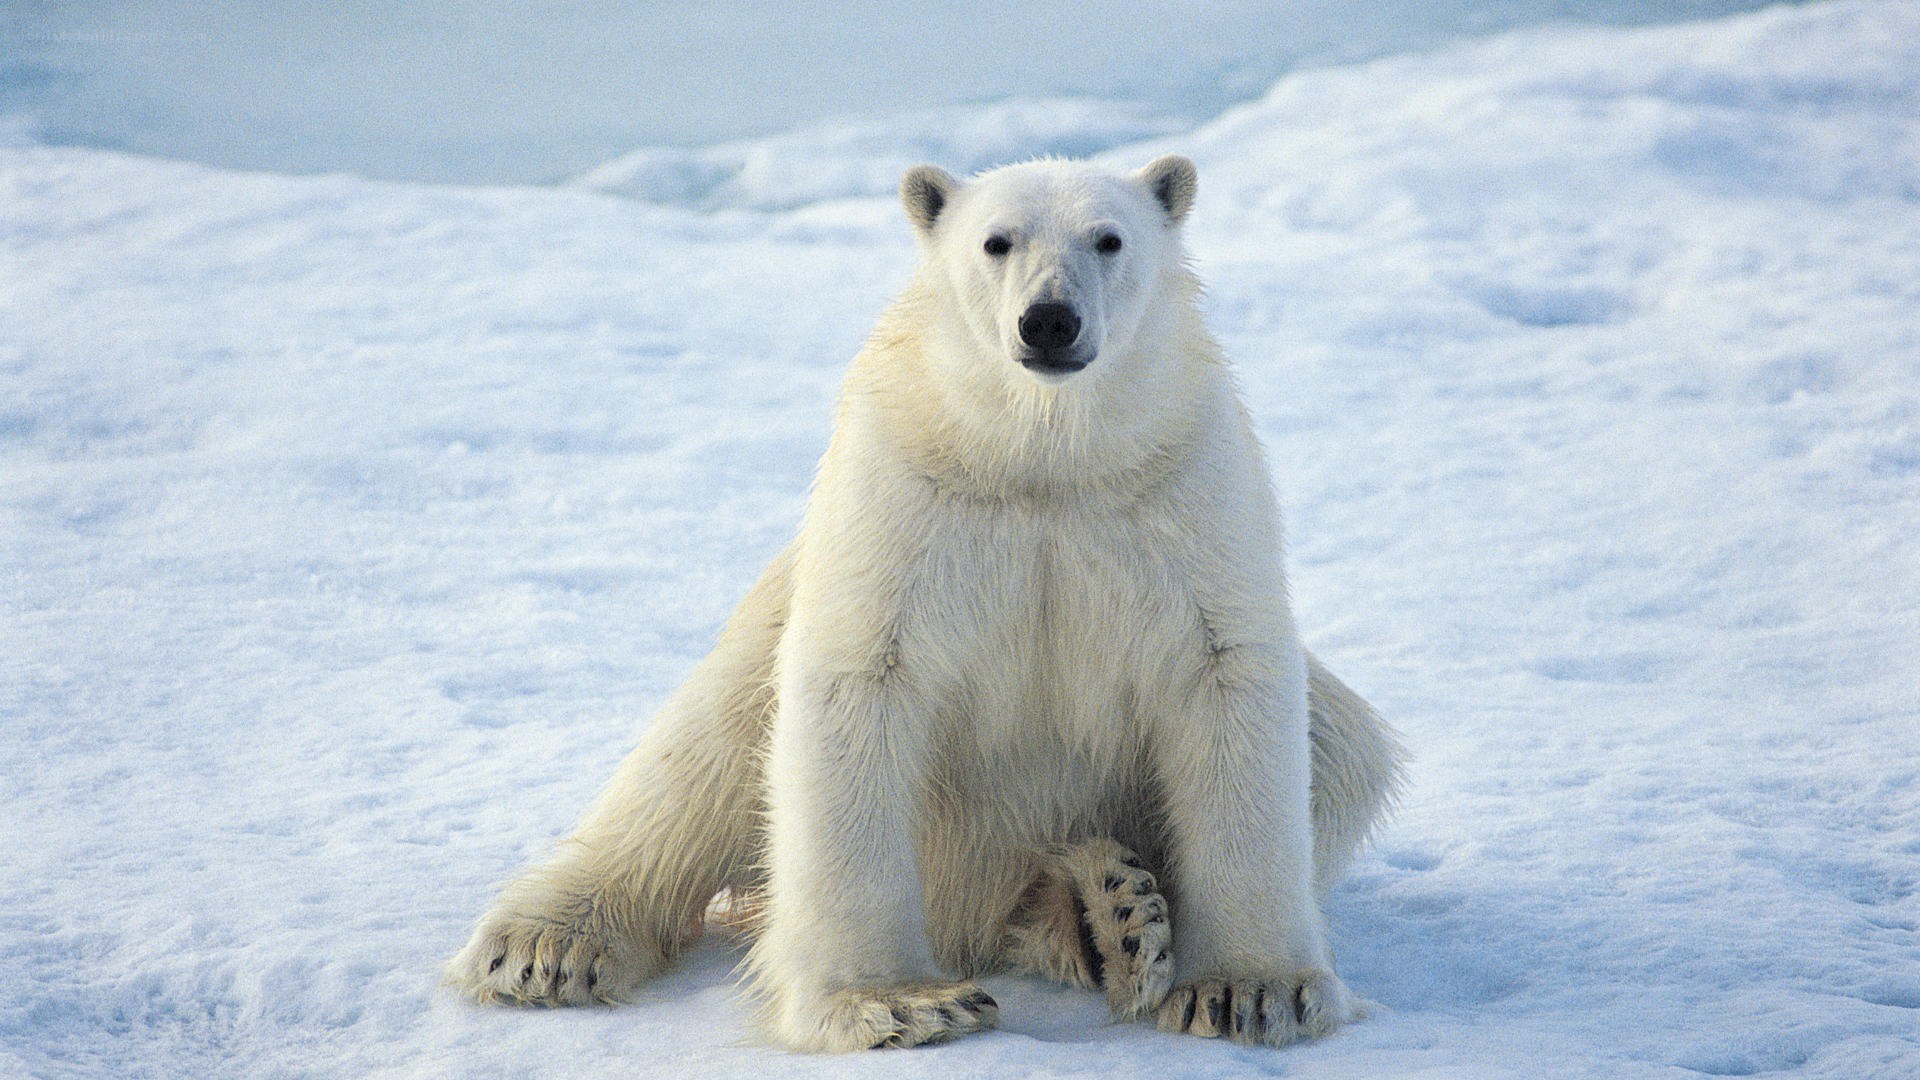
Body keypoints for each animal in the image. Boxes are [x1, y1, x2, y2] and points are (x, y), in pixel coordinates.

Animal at [445, 155, 1407, 1052]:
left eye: (1109, 238)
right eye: (996, 241)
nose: (1048, 320)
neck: (1041, 459)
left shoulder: (1183, 490)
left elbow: (1227, 679)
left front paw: (1252, 991)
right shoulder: (904, 494)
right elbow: (857, 685)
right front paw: (900, 1004)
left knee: (1345, 746)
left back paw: (1107, 913)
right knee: (697, 760)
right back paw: (544, 945)